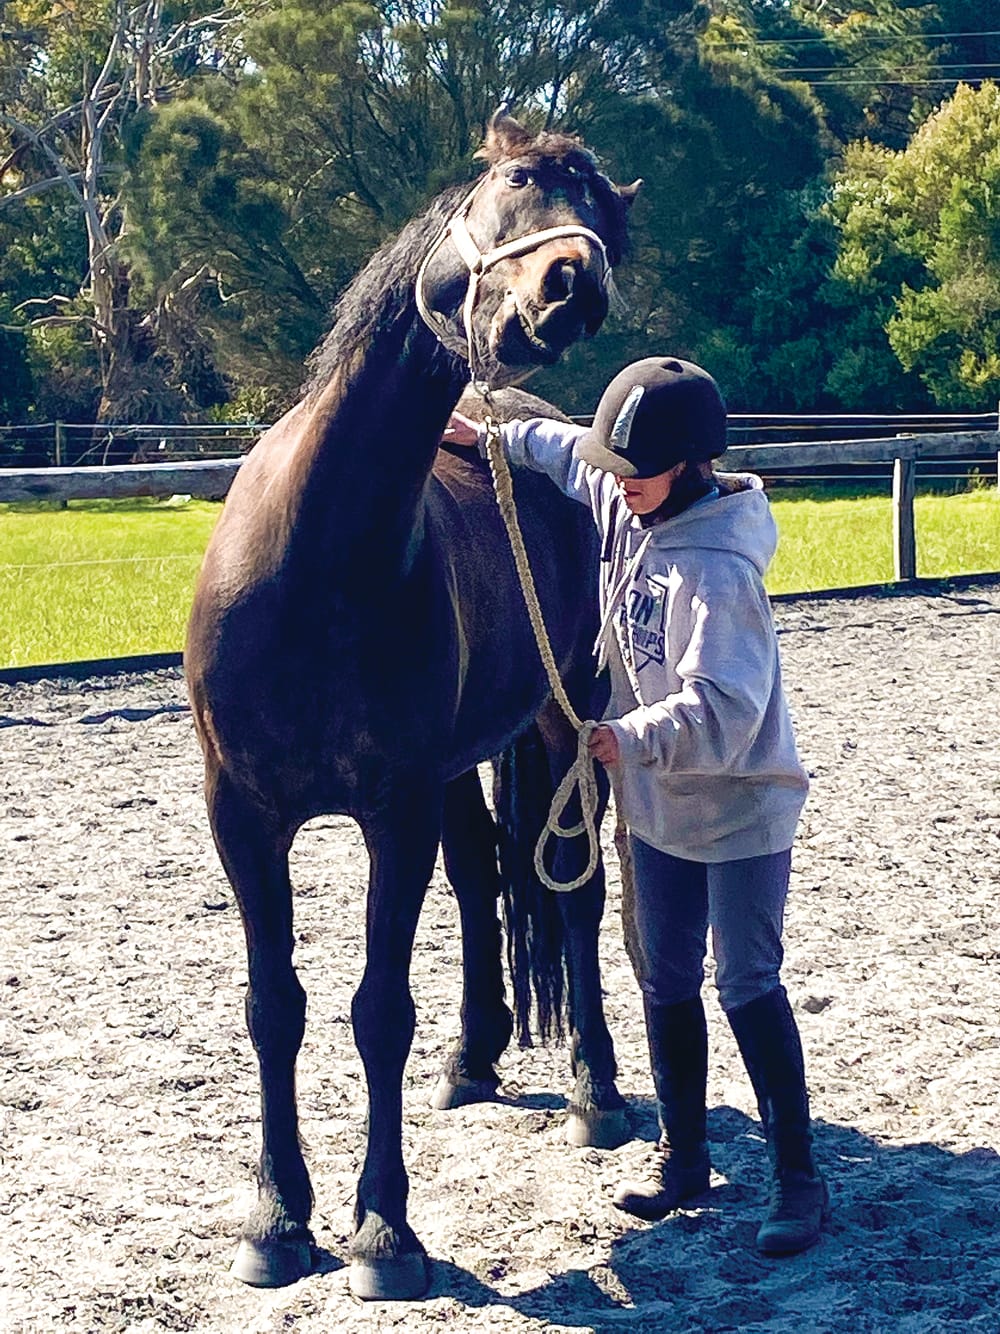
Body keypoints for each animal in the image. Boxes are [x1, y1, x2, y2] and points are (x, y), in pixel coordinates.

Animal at [185, 109, 640, 1301]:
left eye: (609, 218)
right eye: (518, 180)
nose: (573, 285)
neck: (316, 554)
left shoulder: (389, 810)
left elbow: (376, 1010)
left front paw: (382, 1232)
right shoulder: (242, 813)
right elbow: (273, 1005)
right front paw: (275, 1219)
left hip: (564, 722)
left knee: (571, 898)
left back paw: (597, 1092)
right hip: (453, 769)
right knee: (483, 876)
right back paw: (473, 1057)